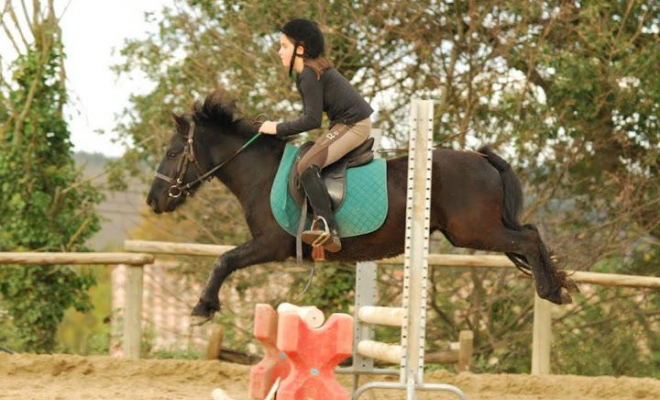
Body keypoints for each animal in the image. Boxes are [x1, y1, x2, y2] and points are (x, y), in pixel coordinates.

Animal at [146, 89, 576, 324]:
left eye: (171, 153)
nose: (153, 201)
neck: (260, 173)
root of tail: (482, 157)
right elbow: (225, 260)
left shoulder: (270, 244)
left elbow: (224, 260)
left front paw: (202, 308)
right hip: (477, 230)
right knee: (529, 235)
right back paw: (559, 285)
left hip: (473, 231)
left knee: (528, 240)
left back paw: (551, 291)